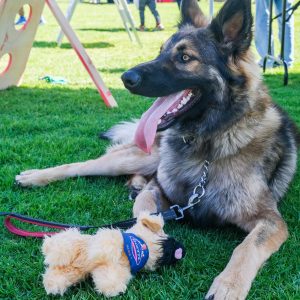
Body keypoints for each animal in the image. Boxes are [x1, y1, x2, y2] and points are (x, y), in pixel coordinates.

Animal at [15, 0, 298, 298]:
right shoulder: (159, 190)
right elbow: (144, 210)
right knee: (81, 166)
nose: (125, 77)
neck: (207, 146)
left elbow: (246, 248)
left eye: (185, 58)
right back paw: (35, 176)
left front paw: (228, 285)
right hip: (137, 158)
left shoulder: (270, 221)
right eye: (159, 52)